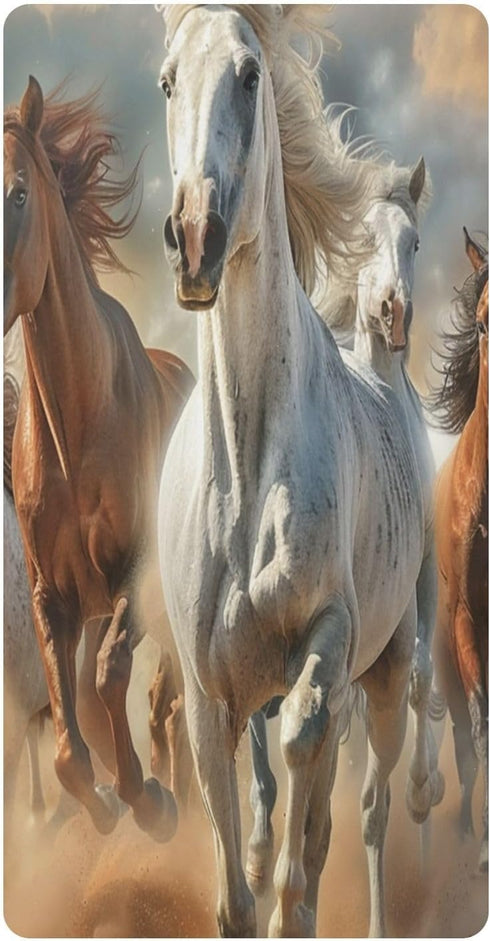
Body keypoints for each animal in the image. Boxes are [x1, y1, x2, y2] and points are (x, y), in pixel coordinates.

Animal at [158, 6, 440, 936]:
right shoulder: (208, 697)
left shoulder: (331, 640)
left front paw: (296, 895)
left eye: (251, 74)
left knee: (373, 808)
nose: (196, 239)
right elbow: (236, 879)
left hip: (387, 674)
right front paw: (251, 868)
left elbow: (305, 758)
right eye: (168, 78)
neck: (247, 472)